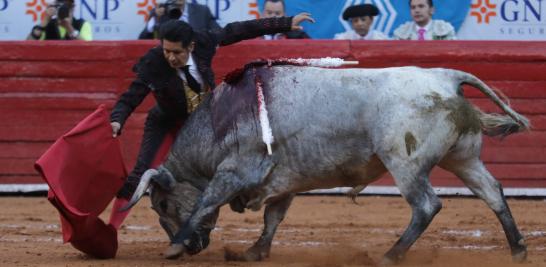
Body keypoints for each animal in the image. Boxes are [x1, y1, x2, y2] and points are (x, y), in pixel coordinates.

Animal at [122, 65, 528, 266]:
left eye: (161, 204)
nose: (194, 247)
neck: (219, 121)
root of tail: (445, 77)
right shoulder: (283, 180)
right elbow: (273, 217)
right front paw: (255, 252)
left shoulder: (233, 173)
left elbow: (206, 202)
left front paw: (174, 246)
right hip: (463, 157)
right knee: (493, 192)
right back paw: (518, 249)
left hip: (405, 163)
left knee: (427, 206)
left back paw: (390, 256)